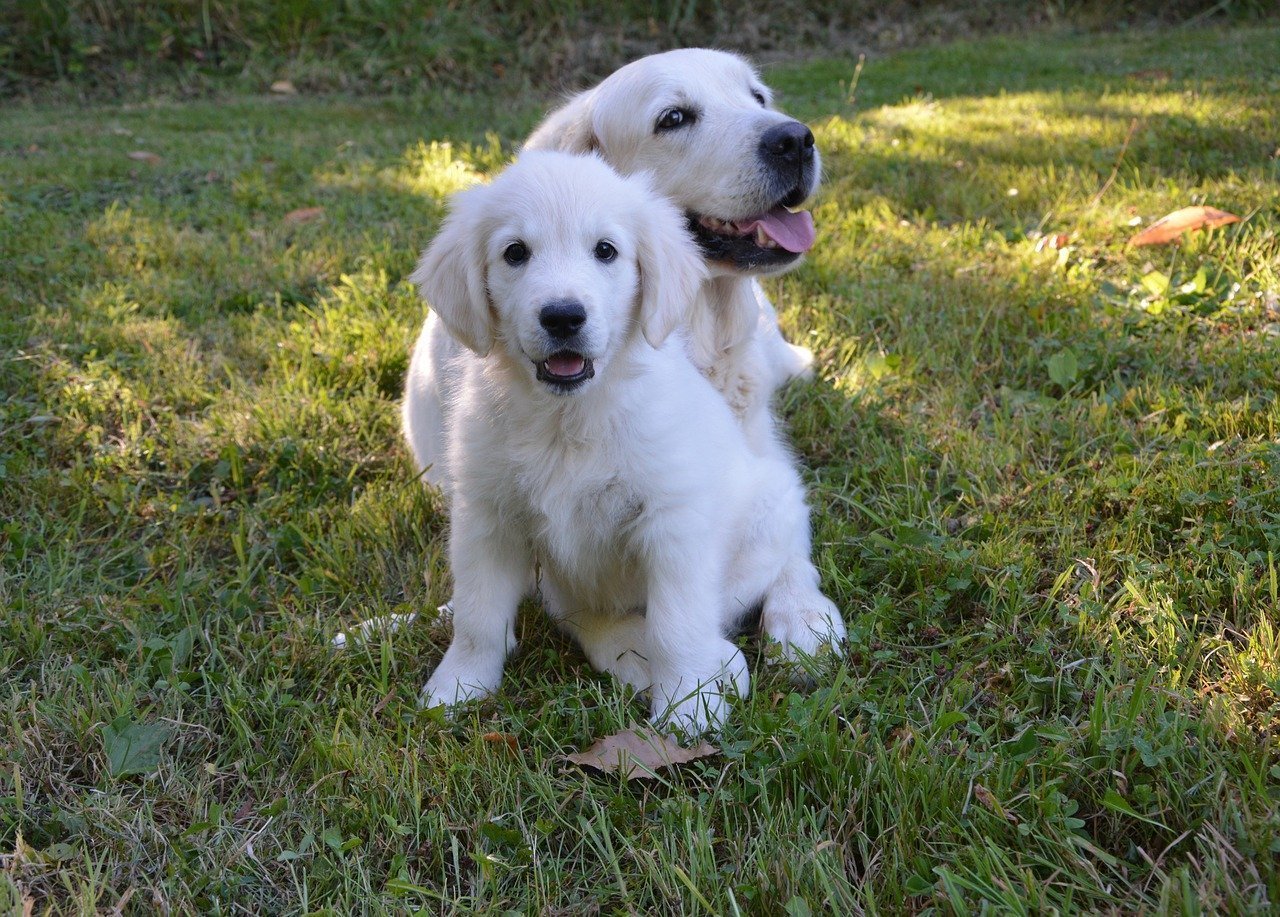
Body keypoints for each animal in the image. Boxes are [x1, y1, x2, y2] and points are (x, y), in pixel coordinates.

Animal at [399, 51, 839, 681]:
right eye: (673, 117)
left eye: (757, 96)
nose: (796, 139)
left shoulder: (748, 465)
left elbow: (786, 531)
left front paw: (802, 614)